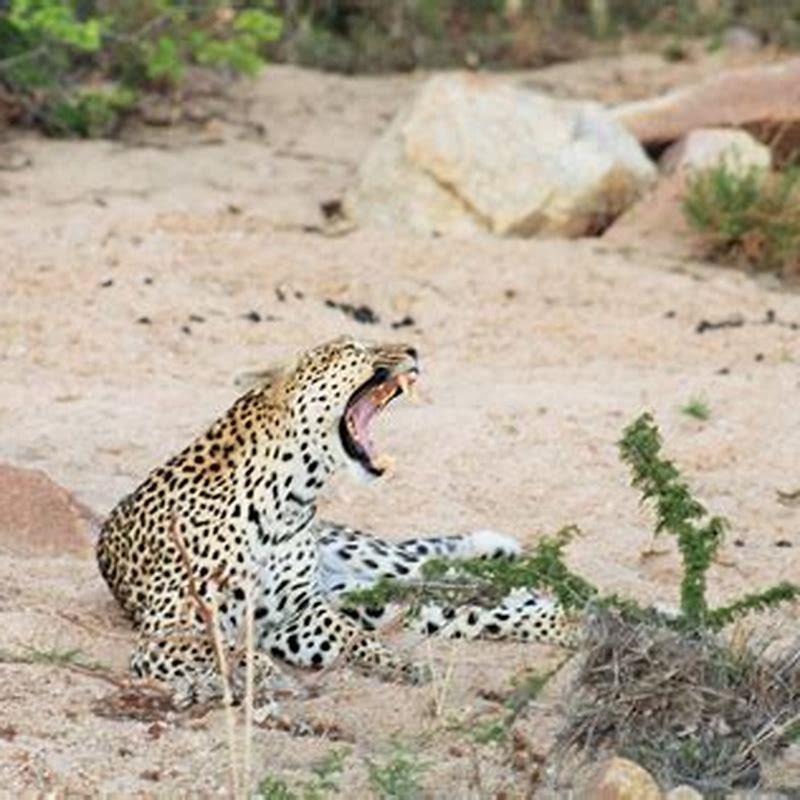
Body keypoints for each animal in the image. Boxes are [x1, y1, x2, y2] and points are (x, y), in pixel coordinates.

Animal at [97, 336, 572, 707]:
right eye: (353, 349)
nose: (414, 349)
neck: (287, 499)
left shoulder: (301, 610)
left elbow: (352, 638)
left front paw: (398, 665)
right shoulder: (173, 632)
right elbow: (236, 650)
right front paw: (269, 678)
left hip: (384, 567)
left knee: (485, 588)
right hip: (376, 597)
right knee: (470, 608)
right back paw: (566, 622)